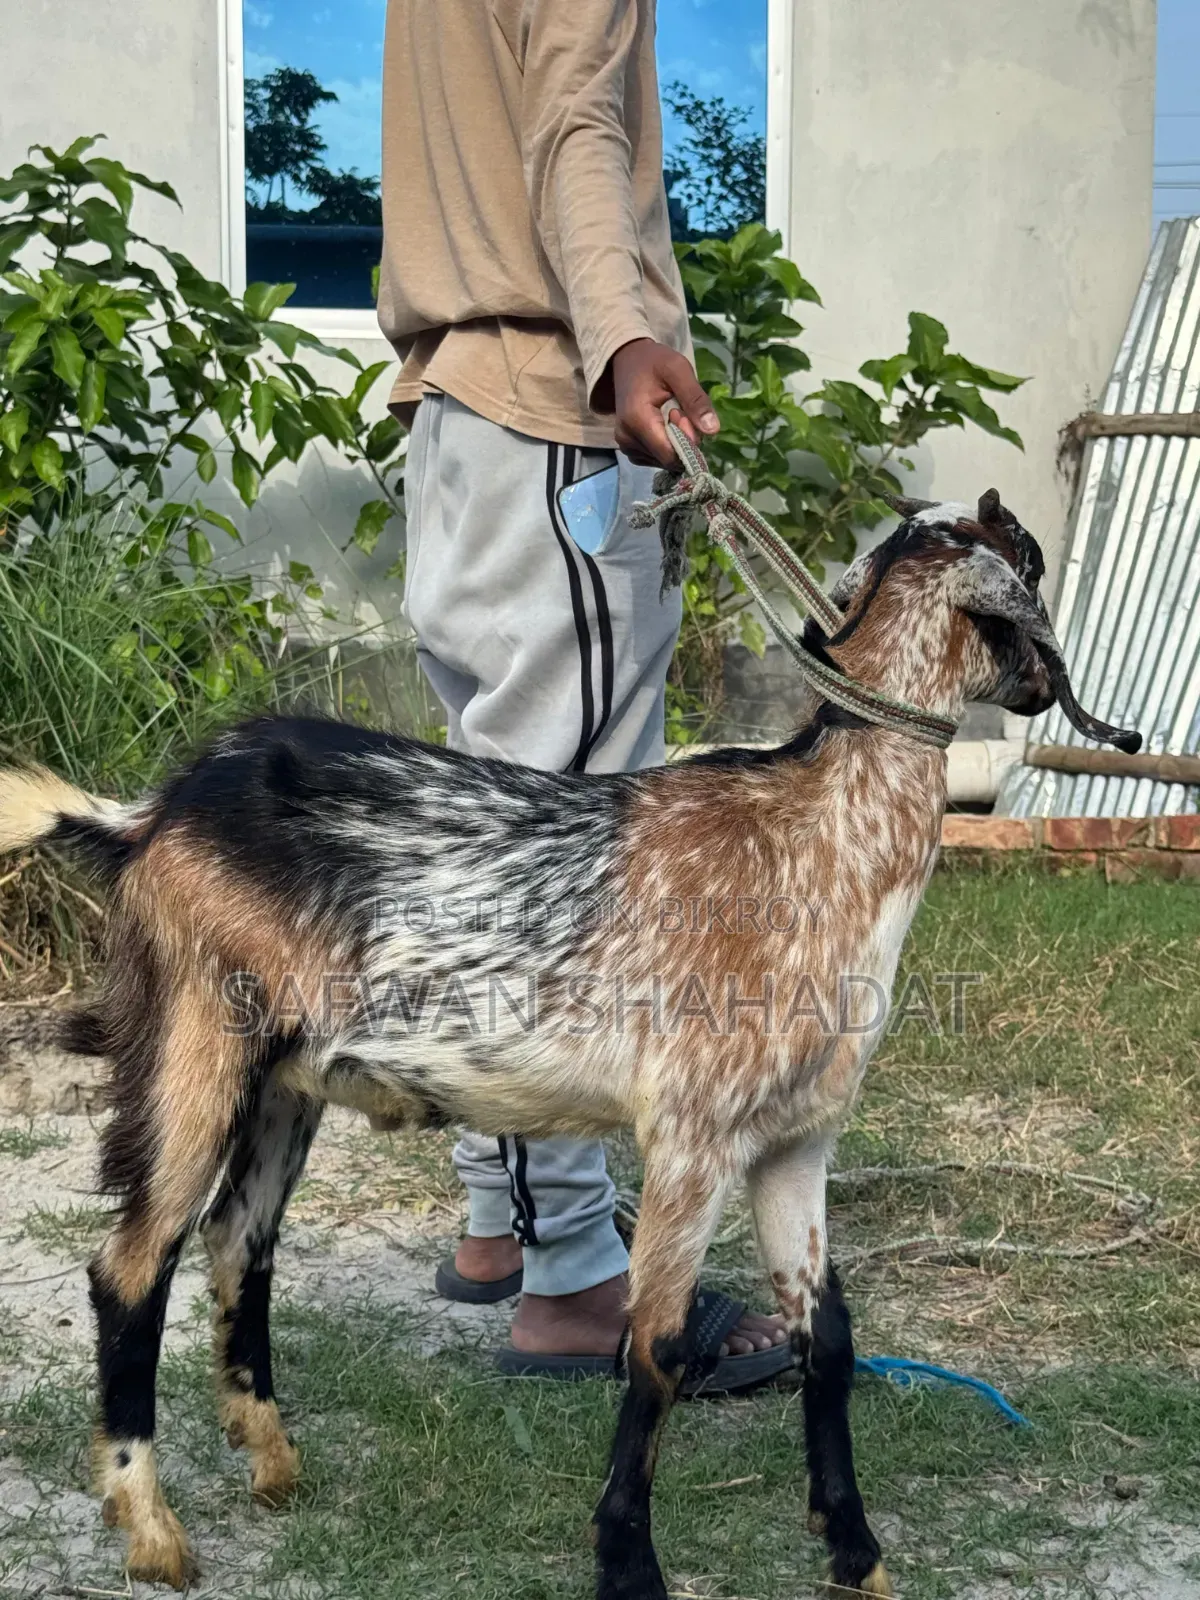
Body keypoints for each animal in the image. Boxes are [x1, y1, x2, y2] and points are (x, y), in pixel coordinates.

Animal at [0, 491, 1139, 1599]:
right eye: (1032, 559)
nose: (1046, 690)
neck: (819, 831)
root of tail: (153, 813)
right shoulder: (692, 1134)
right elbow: (658, 1347)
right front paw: (628, 1565)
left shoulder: (793, 1141)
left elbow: (829, 1338)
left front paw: (856, 1555)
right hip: (195, 1043)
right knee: (132, 1263)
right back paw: (153, 1530)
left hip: (287, 1078)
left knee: (240, 1238)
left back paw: (273, 1460)